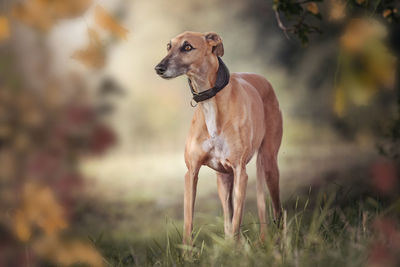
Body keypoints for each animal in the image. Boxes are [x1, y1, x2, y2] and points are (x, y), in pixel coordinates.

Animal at [155, 31, 282, 245]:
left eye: (187, 47)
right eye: (168, 46)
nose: (158, 68)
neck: (210, 101)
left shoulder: (240, 172)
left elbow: (237, 218)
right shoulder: (191, 172)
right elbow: (189, 222)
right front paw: (188, 251)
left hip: (269, 165)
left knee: (278, 211)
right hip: (223, 179)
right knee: (227, 219)